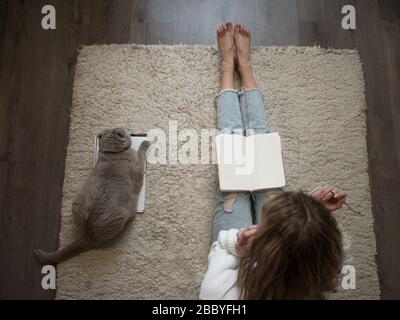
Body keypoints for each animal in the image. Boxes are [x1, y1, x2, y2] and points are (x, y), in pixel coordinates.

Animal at [34, 127, 150, 264]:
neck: (112, 154)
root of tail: (86, 236)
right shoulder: (138, 168)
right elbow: (141, 153)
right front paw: (146, 142)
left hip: (76, 201)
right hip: (122, 214)